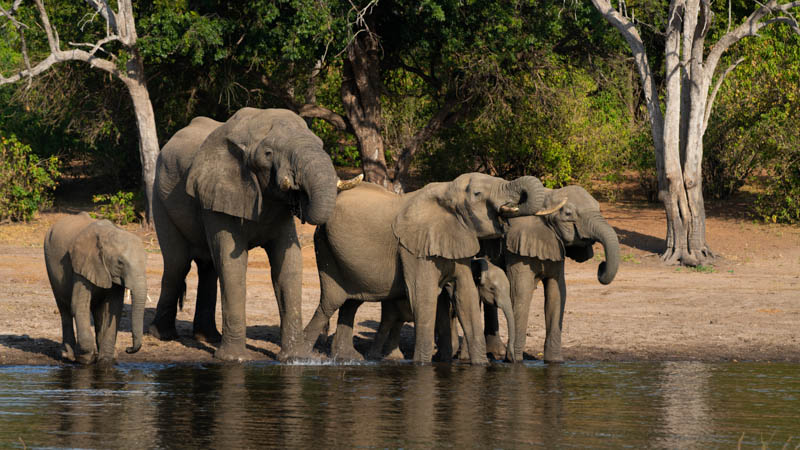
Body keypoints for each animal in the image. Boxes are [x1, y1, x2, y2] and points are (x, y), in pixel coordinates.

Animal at [43, 213, 147, 364]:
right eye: (120, 263)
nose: (128, 349)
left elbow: (113, 309)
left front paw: (106, 360)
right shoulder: (82, 265)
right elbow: (79, 305)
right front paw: (86, 359)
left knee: (98, 312)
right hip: (50, 265)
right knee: (64, 308)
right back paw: (68, 356)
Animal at [148, 106, 340, 362]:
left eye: (320, 144)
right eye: (268, 154)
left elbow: (288, 265)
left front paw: (294, 358)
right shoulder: (218, 191)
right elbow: (233, 265)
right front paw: (235, 360)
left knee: (208, 267)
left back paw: (208, 338)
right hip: (160, 198)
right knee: (177, 264)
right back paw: (163, 336)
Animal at [368, 256, 516, 362]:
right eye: (492, 288)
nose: (510, 359)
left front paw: (460, 357)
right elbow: (446, 316)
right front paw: (453, 356)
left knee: (397, 323)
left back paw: (393, 357)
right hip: (390, 303)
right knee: (388, 321)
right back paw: (376, 357)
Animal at [484, 185, 620, 364]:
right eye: (568, 214)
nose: (601, 266)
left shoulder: (556, 245)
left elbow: (557, 293)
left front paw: (555, 362)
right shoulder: (516, 247)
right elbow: (521, 293)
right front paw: (515, 361)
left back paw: (495, 352)